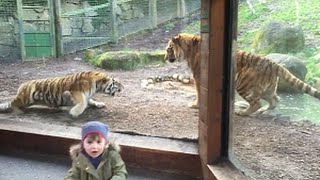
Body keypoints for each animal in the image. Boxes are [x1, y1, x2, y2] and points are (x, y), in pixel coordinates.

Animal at [165, 33, 320, 116]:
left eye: (168, 49)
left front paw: (195, 105)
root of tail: (272, 63)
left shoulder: (199, 78)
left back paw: (244, 112)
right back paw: (262, 111)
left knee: (256, 103)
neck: (188, 50)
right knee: (275, 101)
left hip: (243, 85)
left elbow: (198, 93)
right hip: (268, 89)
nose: (165, 58)